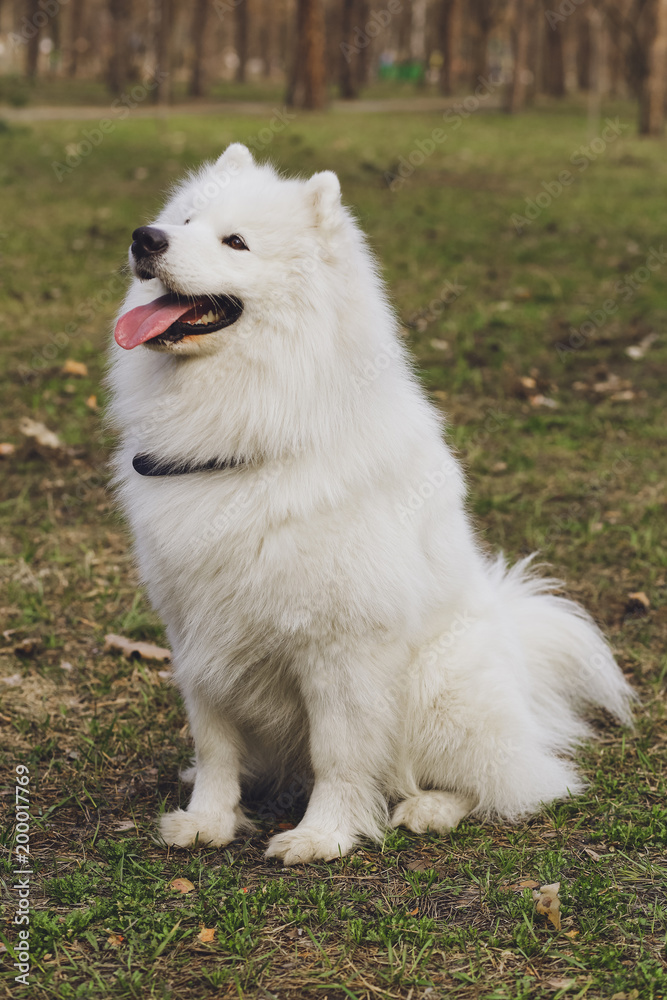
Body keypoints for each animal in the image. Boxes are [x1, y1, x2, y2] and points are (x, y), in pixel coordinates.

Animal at [107, 145, 636, 864]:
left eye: (235, 242)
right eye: (183, 221)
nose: (146, 238)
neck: (246, 434)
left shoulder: (341, 647)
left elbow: (339, 754)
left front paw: (322, 834)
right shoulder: (196, 634)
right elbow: (215, 744)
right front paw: (208, 818)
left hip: (440, 688)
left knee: (509, 782)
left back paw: (430, 808)